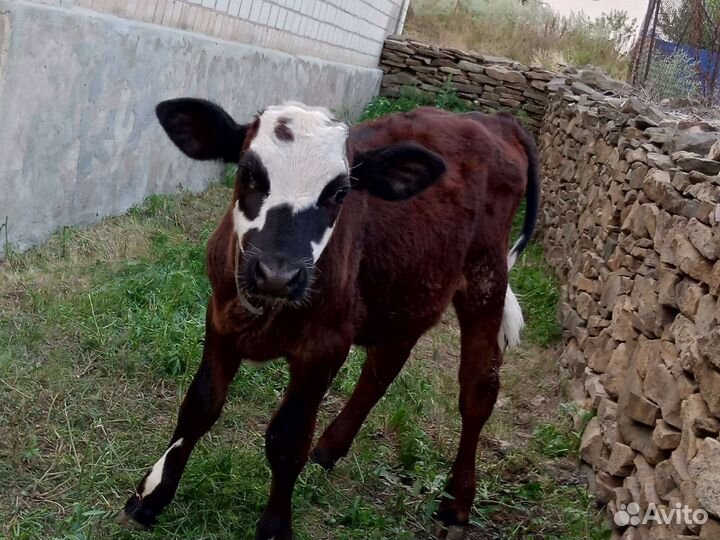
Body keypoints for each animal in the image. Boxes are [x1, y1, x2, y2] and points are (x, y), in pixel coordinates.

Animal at [117, 98, 540, 540]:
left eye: (339, 192)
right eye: (248, 172)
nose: (277, 274)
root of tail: (494, 120)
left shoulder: (324, 348)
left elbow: (287, 439)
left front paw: (275, 527)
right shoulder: (220, 319)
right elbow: (199, 407)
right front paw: (152, 496)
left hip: (486, 278)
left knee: (477, 391)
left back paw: (457, 504)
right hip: (410, 290)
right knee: (383, 367)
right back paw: (331, 447)